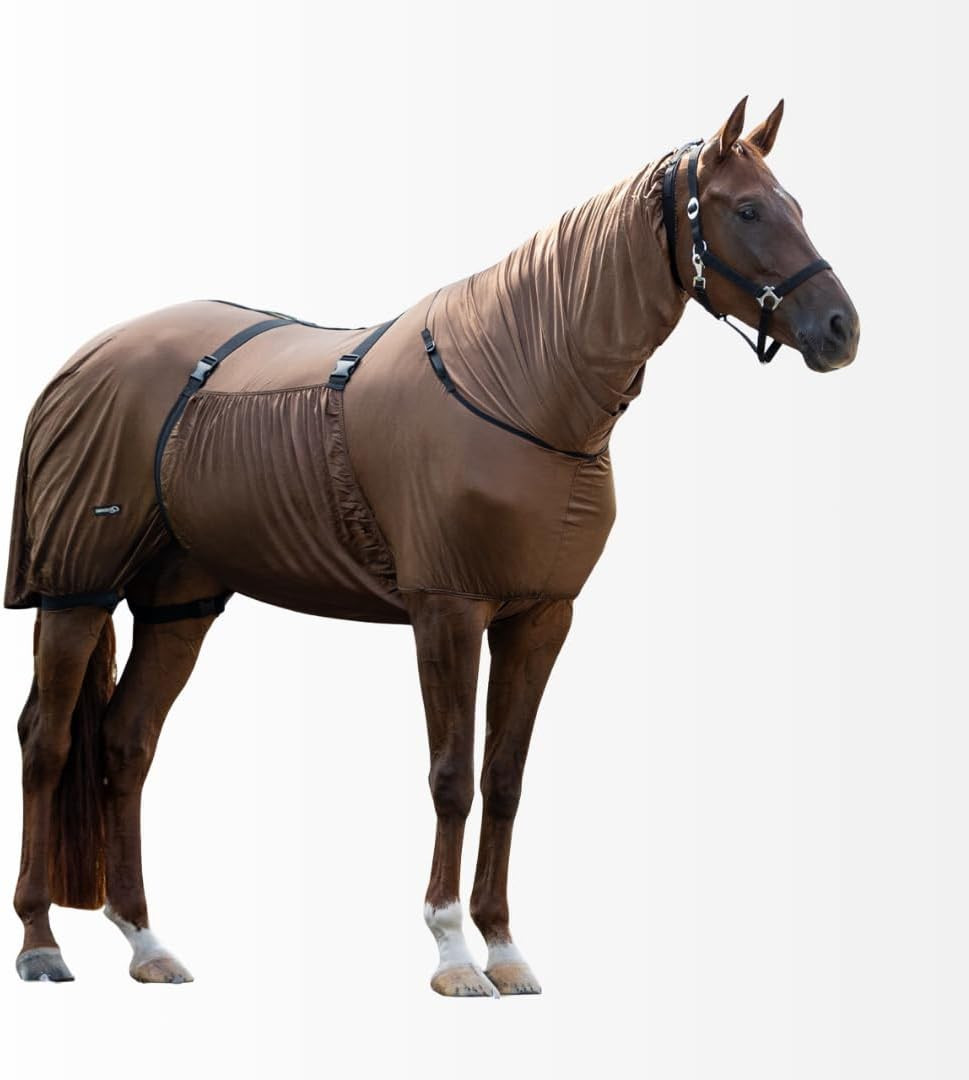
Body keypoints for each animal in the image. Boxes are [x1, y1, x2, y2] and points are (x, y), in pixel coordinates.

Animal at [7, 97, 859, 995]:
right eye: (748, 210)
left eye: (794, 204)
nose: (841, 328)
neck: (518, 381)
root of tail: (87, 359)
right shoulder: (447, 610)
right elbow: (451, 778)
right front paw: (453, 954)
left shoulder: (539, 617)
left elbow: (504, 778)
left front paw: (505, 950)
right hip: (76, 588)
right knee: (46, 743)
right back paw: (40, 942)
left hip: (180, 601)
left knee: (128, 744)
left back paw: (147, 943)